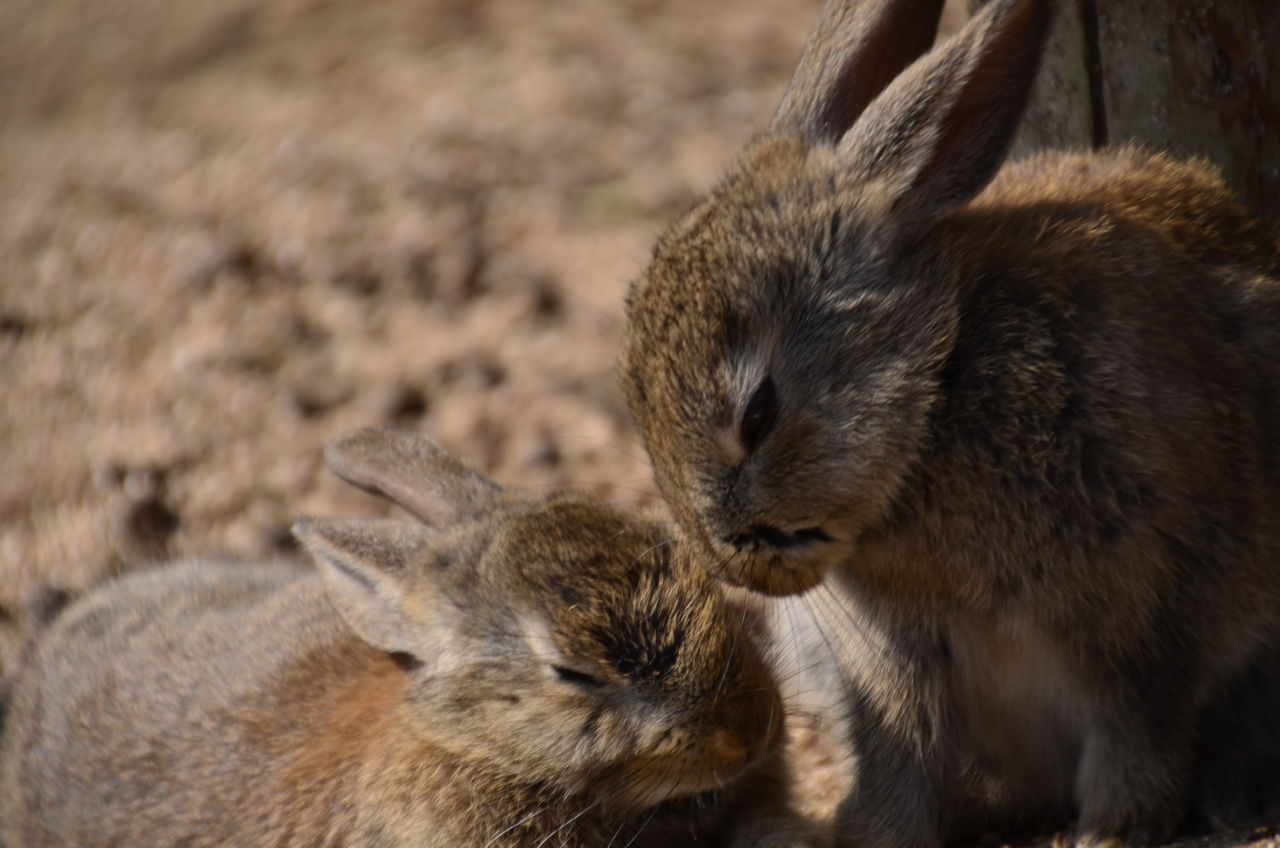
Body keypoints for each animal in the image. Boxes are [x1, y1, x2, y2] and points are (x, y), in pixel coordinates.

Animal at [618, 0, 1280, 844]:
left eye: (759, 414)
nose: (732, 564)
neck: (933, 406)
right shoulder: (893, 659)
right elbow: (901, 752)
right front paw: (868, 833)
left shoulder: (1144, 620)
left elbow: (1137, 734)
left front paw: (1109, 831)